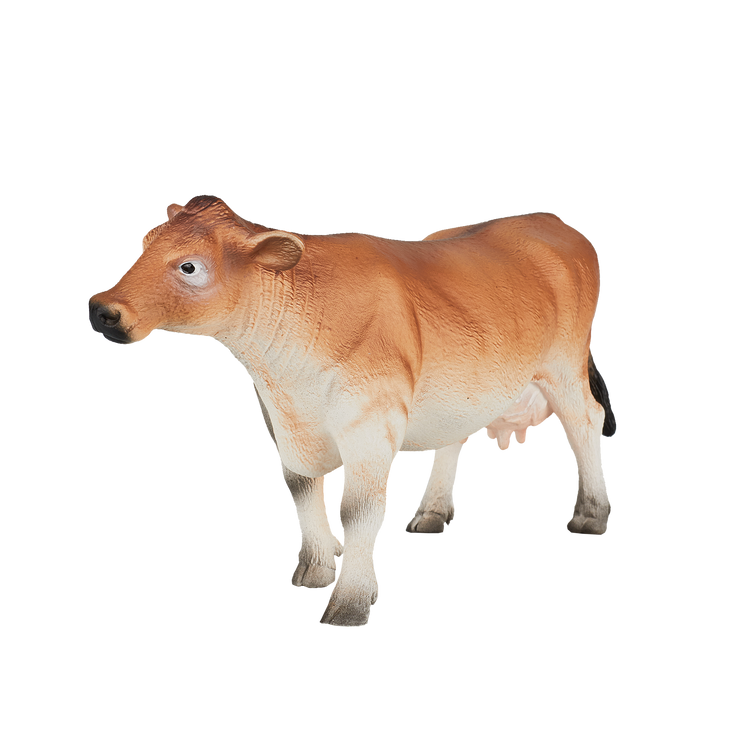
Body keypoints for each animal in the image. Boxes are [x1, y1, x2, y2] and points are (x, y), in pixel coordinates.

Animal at [87, 194, 618, 629]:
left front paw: (349, 603)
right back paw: (431, 512)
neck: (286, 375)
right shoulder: (278, 417)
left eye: (190, 268)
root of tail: (549, 219)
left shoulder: (371, 419)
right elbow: (302, 491)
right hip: (467, 380)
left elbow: (359, 510)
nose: (102, 309)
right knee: (457, 434)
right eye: (144, 243)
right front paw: (316, 569)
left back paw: (591, 515)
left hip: (564, 365)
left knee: (584, 423)